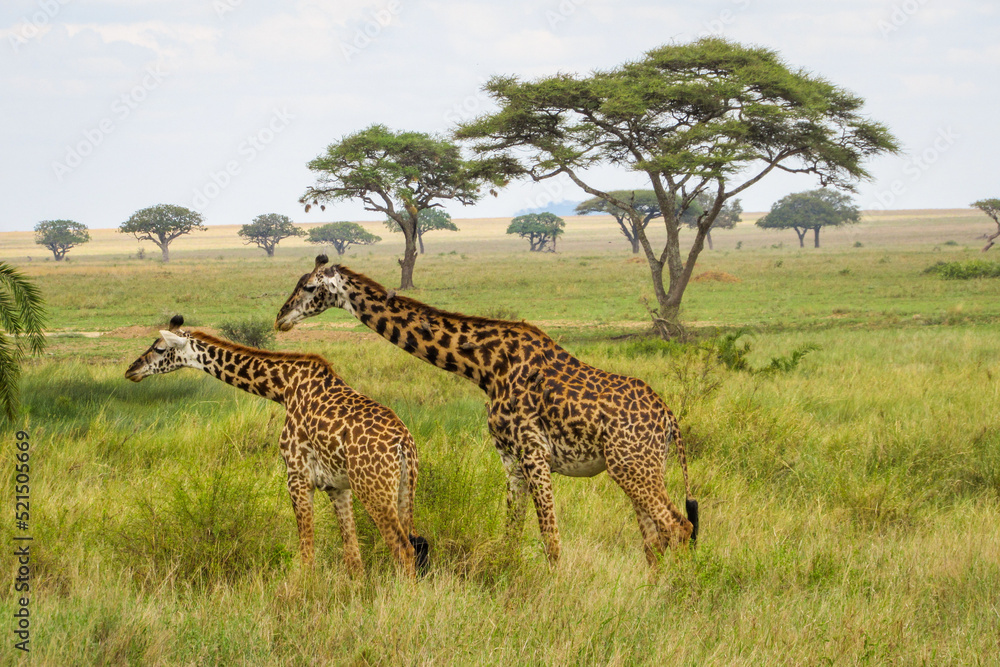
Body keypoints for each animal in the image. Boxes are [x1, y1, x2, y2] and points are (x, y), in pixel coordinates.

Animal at [125, 315, 429, 578]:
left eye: (159, 348)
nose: (131, 370)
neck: (282, 388)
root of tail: (404, 445)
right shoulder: (337, 486)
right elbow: (353, 557)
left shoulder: (297, 477)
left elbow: (307, 554)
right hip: (404, 489)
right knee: (414, 544)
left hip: (374, 489)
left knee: (403, 550)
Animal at [275, 257, 698, 567]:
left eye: (309, 287)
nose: (281, 318)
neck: (485, 366)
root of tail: (670, 420)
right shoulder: (511, 458)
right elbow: (512, 536)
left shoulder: (534, 453)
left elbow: (551, 540)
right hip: (640, 467)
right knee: (655, 540)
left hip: (631, 466)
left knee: (678, 528)